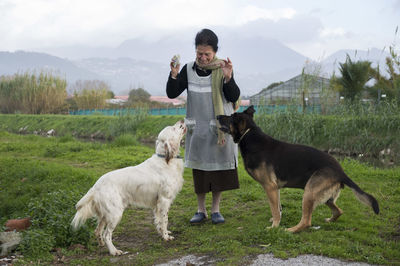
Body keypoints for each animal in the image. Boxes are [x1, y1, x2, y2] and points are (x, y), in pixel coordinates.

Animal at [71, 120, 187, 256]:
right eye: (174, 128)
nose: (182, 120)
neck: (165, 160)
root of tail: (96, 186)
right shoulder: (164, 200)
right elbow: (164, 220)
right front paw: (166, 237)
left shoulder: (157, 203)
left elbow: (159, 221)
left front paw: (164, 232)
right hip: (115, 213)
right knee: (107, 234)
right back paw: (114, 251)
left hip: (105, 214)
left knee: (98, 231)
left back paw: (101, 244)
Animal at [217, 106, 380, 233]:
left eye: (230, 117)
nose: (218, 116)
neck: (249, 134)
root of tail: (340, 171)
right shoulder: (275, 188)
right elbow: (278, 208)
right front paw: (276, 221)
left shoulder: (270, 187)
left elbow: (275, 209)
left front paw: (274, 226)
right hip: (325, 197)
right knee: (338, 211)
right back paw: (329, 220)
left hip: (309, 193)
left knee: (307, 222)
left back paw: (290, 230)